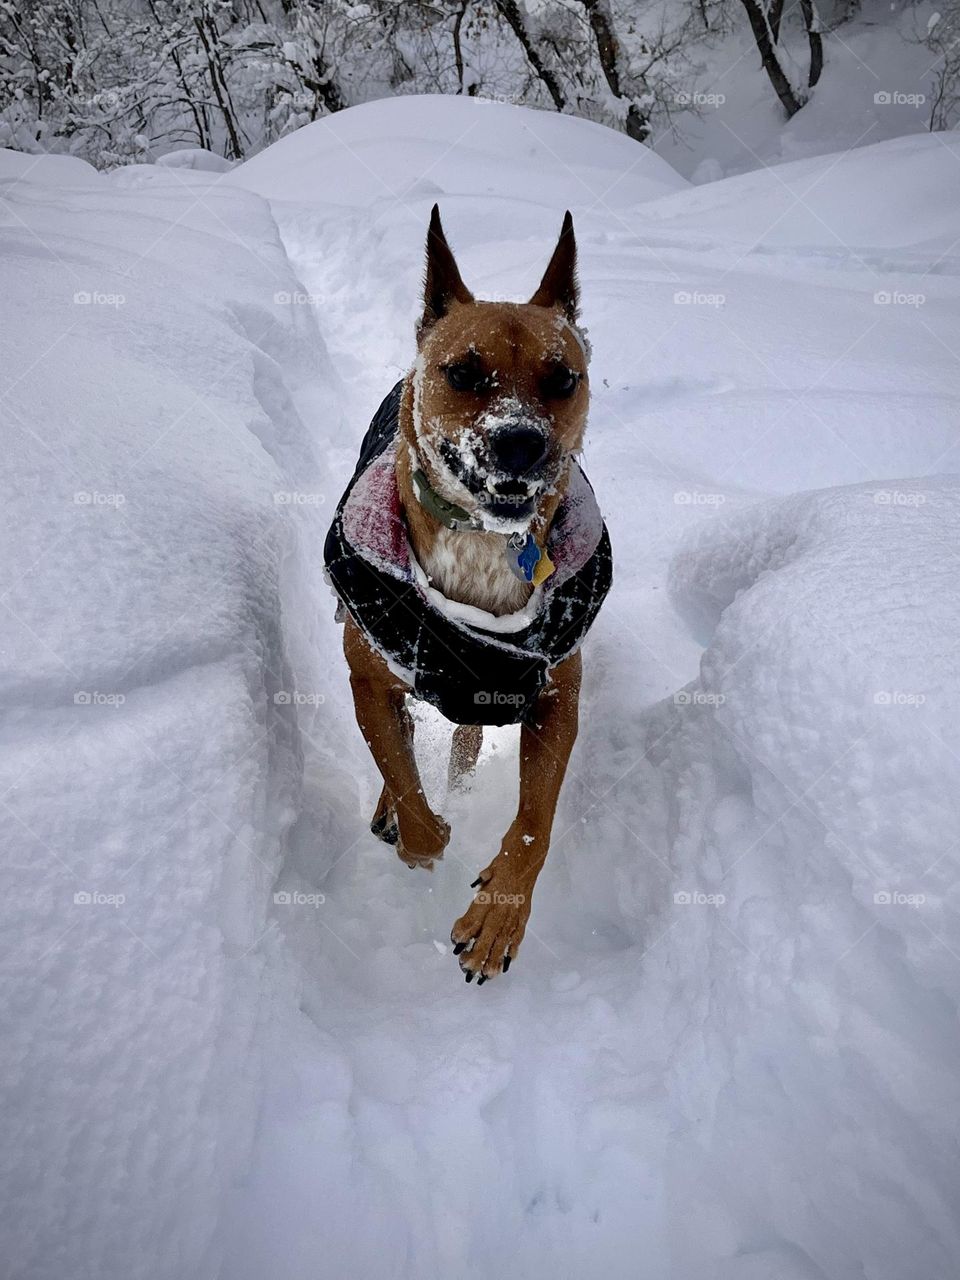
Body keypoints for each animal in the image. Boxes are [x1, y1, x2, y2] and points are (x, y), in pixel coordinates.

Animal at [327, 209, 611, 983]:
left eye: (563, 378)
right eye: (463, 372)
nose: (520, 443)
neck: (485, 545)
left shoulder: (553, 696)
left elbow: (535, 823)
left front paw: (498, 915)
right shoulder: (369, 678)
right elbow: (405, 785)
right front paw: (421, 832)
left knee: (463, 738)